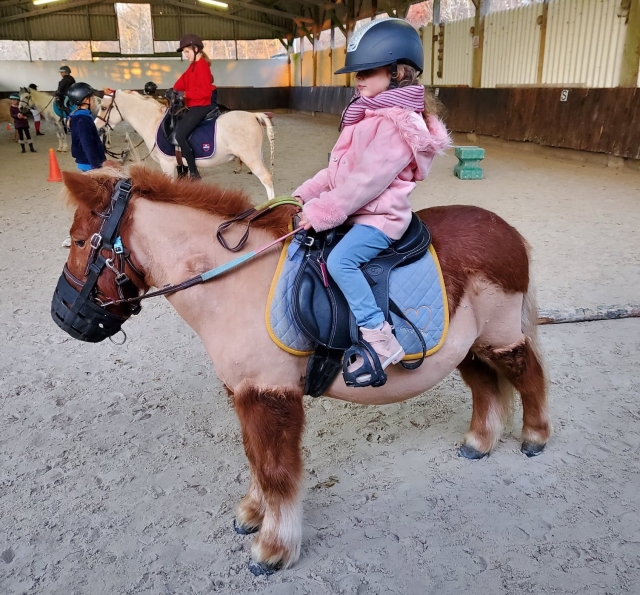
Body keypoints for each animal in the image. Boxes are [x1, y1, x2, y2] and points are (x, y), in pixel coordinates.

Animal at [57, 165, 551, 575]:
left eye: (81, 241)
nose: (61, 315)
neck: (232, 283)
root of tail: (508, 232)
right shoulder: (244, 392)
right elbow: (255, 459)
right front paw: (252, 515)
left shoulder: (270, 394)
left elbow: (276, 471)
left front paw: (273, 550)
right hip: (468, 348)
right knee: (486, 386)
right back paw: (479, 443)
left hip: (500, 338)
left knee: (529, 376)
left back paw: (535, 437)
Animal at [94, 89, 276, 199]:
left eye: (103, 108)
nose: (96, 127)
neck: (154, 123)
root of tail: (254, 115)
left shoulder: (167, 165)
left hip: (251, 158)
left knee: (266, 179)